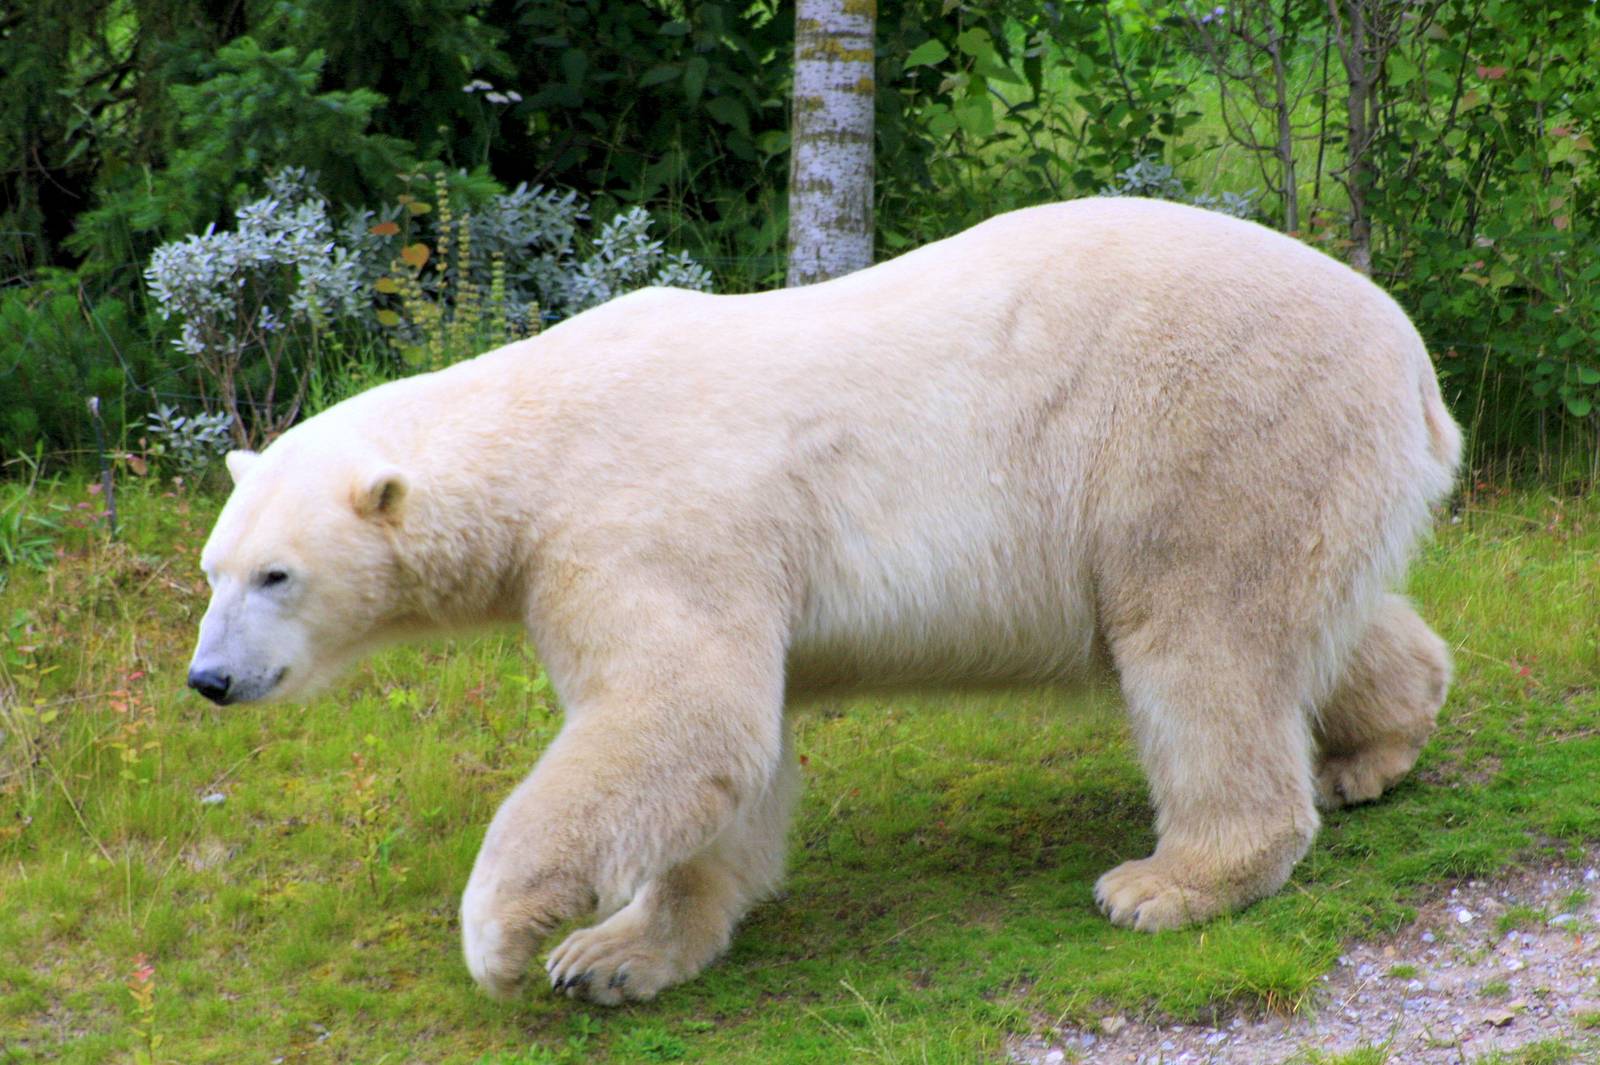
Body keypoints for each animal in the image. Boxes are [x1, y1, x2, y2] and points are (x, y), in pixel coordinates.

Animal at [186, 197, 1460, 1005]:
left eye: (277, 574)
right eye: (211, 569)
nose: (209, 678)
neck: (539, 434)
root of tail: (1410, 356)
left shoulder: (644, 522)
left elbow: (681, 719)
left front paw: (506, 938)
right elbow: (727, 767)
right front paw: (614, 957)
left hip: (1206, 432)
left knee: (1200, 642)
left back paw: (1170, 882)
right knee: (1311, 621)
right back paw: (1372, 749)